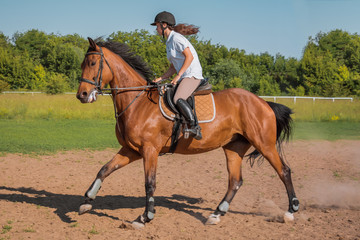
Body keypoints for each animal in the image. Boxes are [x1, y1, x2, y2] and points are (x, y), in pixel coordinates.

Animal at [75, 37, 298, 227]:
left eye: (93, 63)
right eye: (83, 64)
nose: (82, 95)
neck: (136, 102)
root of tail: (263, 102)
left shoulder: (150, 150)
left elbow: (149, 183)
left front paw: (145, 217)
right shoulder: (132, 150)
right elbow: (104, 169)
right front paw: (87, 200)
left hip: (264, 144)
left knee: (284, 171)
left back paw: (290, 211)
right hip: (234, 147)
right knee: (235, 181)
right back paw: (216, 214)